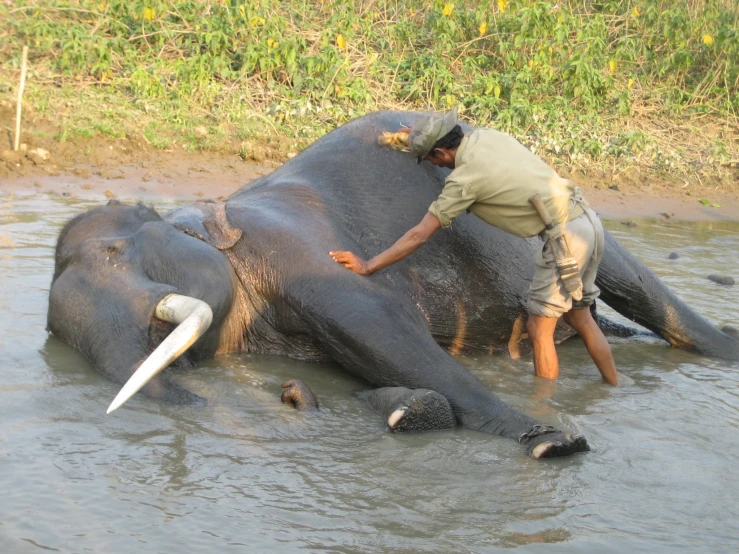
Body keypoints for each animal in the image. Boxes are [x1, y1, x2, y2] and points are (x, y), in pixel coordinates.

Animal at [47, 109, 739, 458]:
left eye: (115, 249)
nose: (287, 398)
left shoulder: (295, 252)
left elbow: (384, 330)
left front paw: (554, 443)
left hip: (573, 219)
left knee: (637, 288)